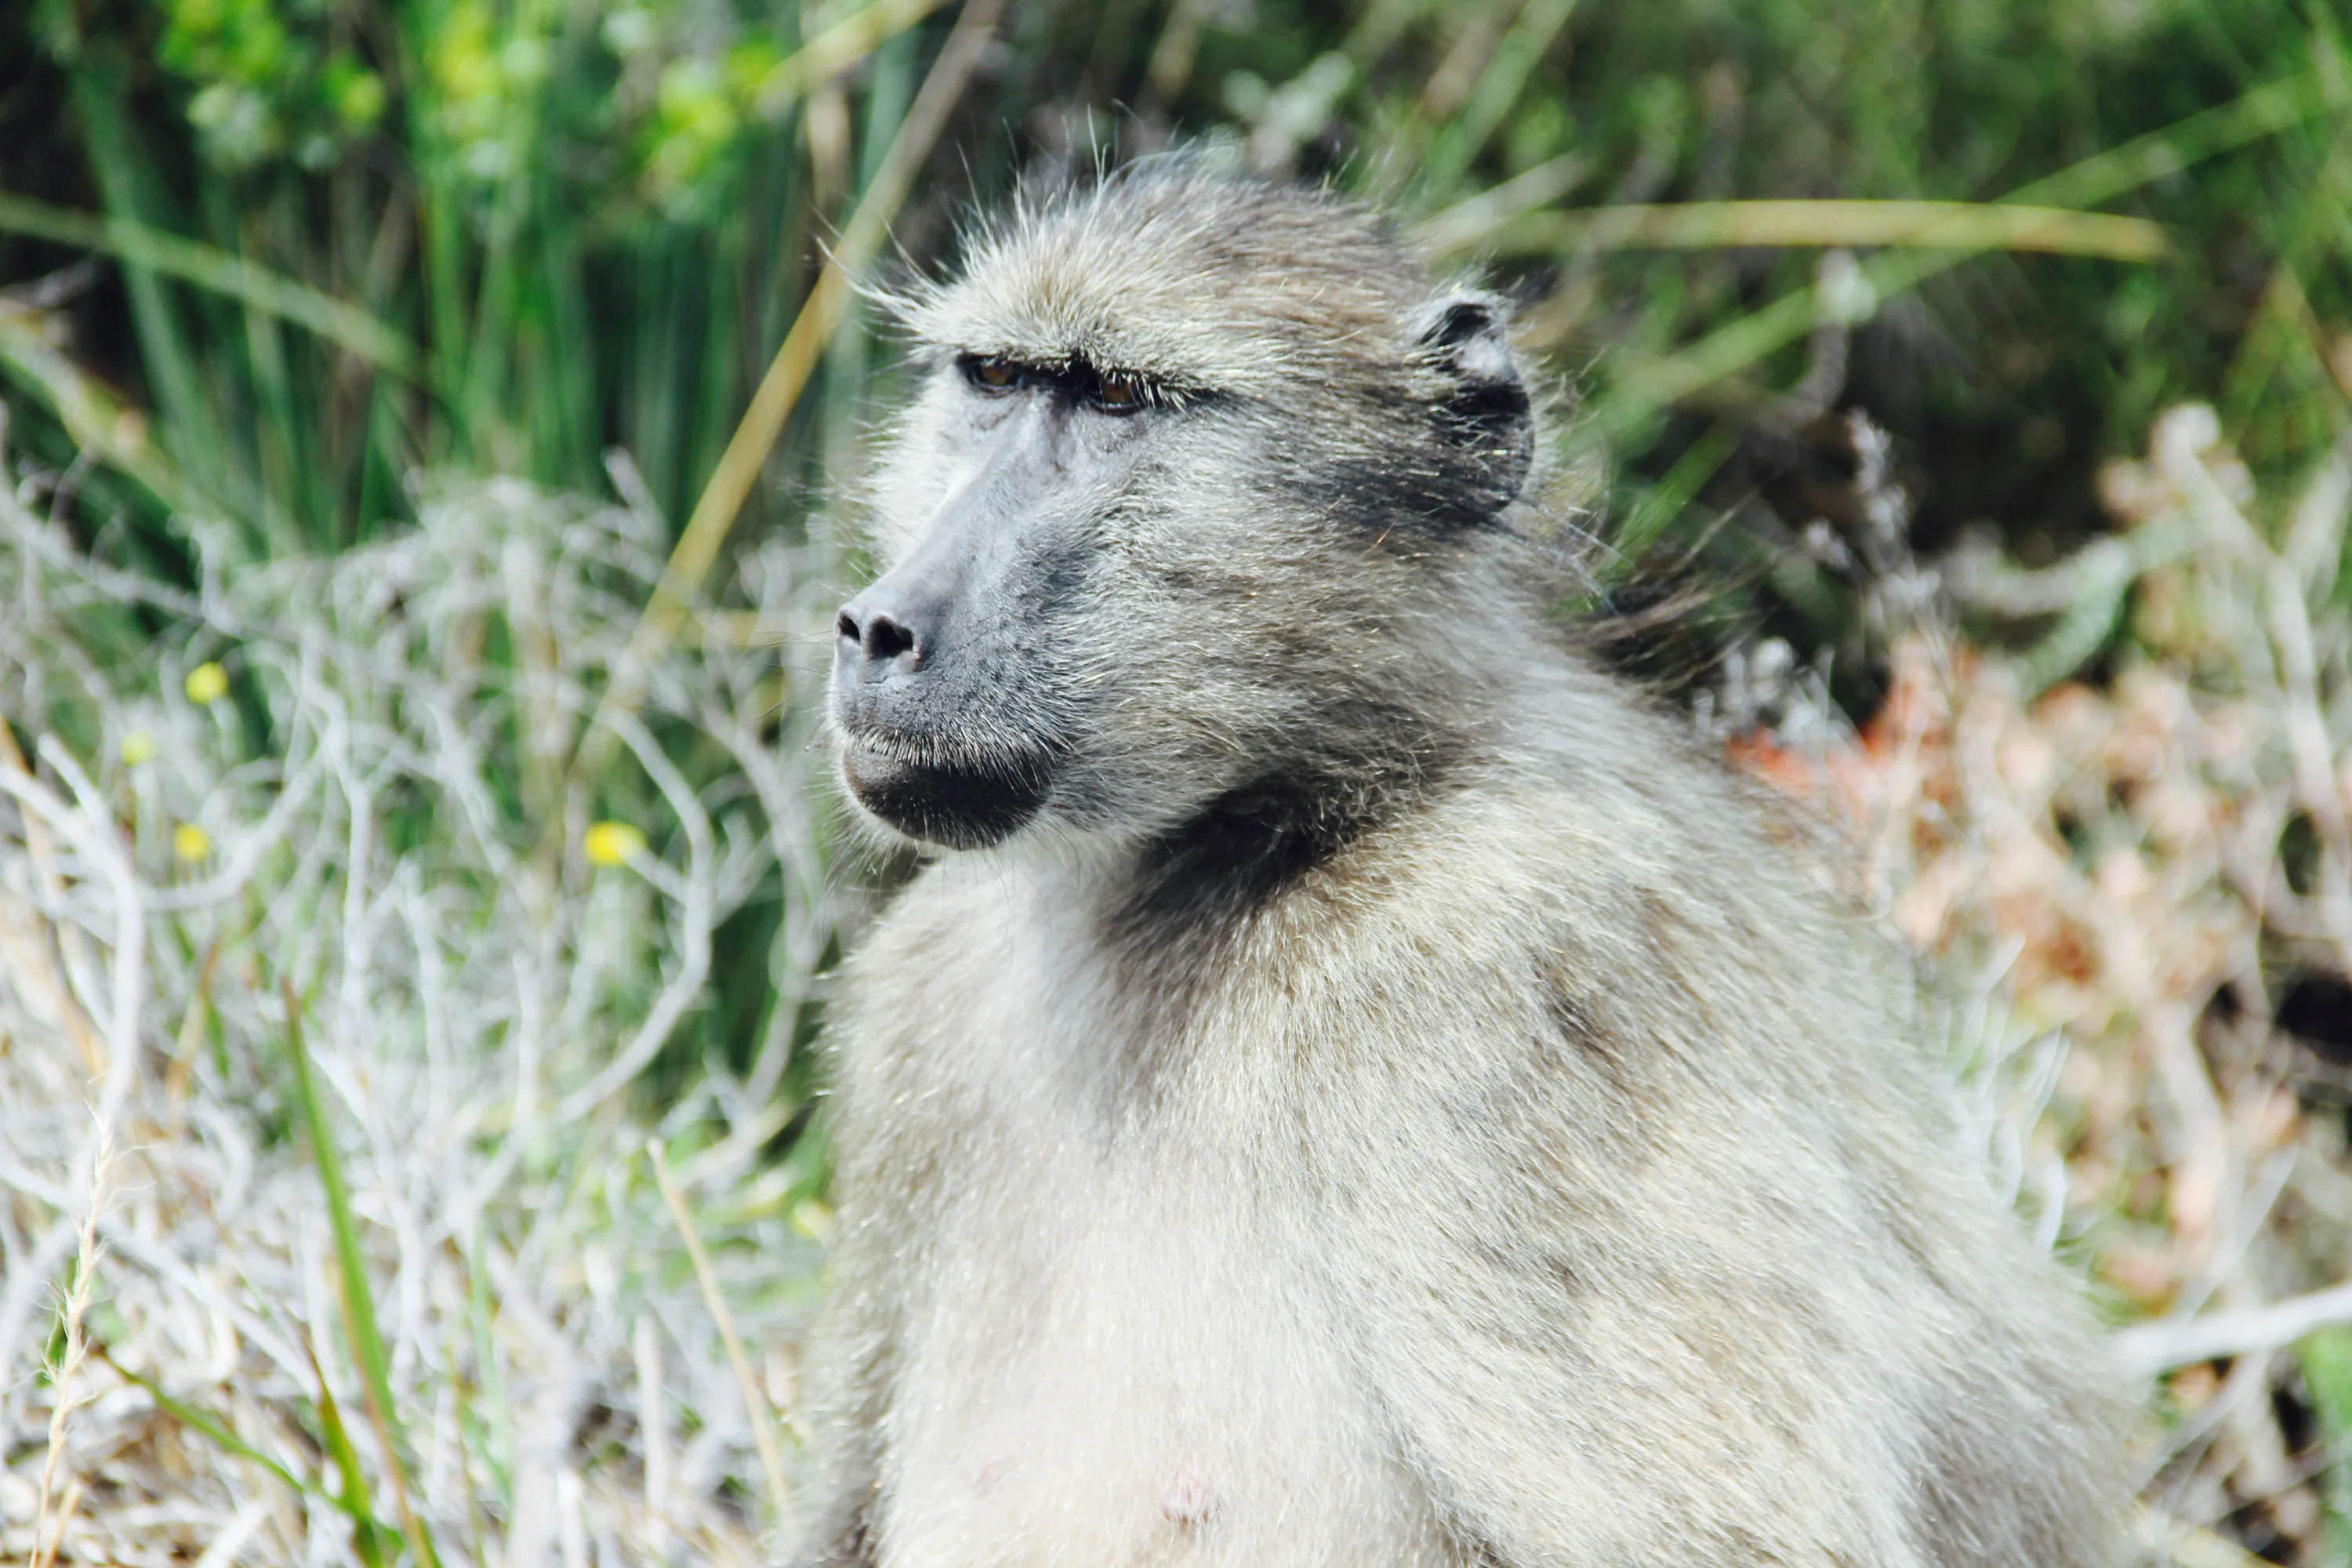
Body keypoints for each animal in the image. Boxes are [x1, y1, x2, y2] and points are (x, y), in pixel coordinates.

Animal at [797, 164, 2129, 1567]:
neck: (1273, 830)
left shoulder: (1496, 964)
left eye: (1118, 398)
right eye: (994, 380)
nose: (881, 625)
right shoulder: (912, 1005)